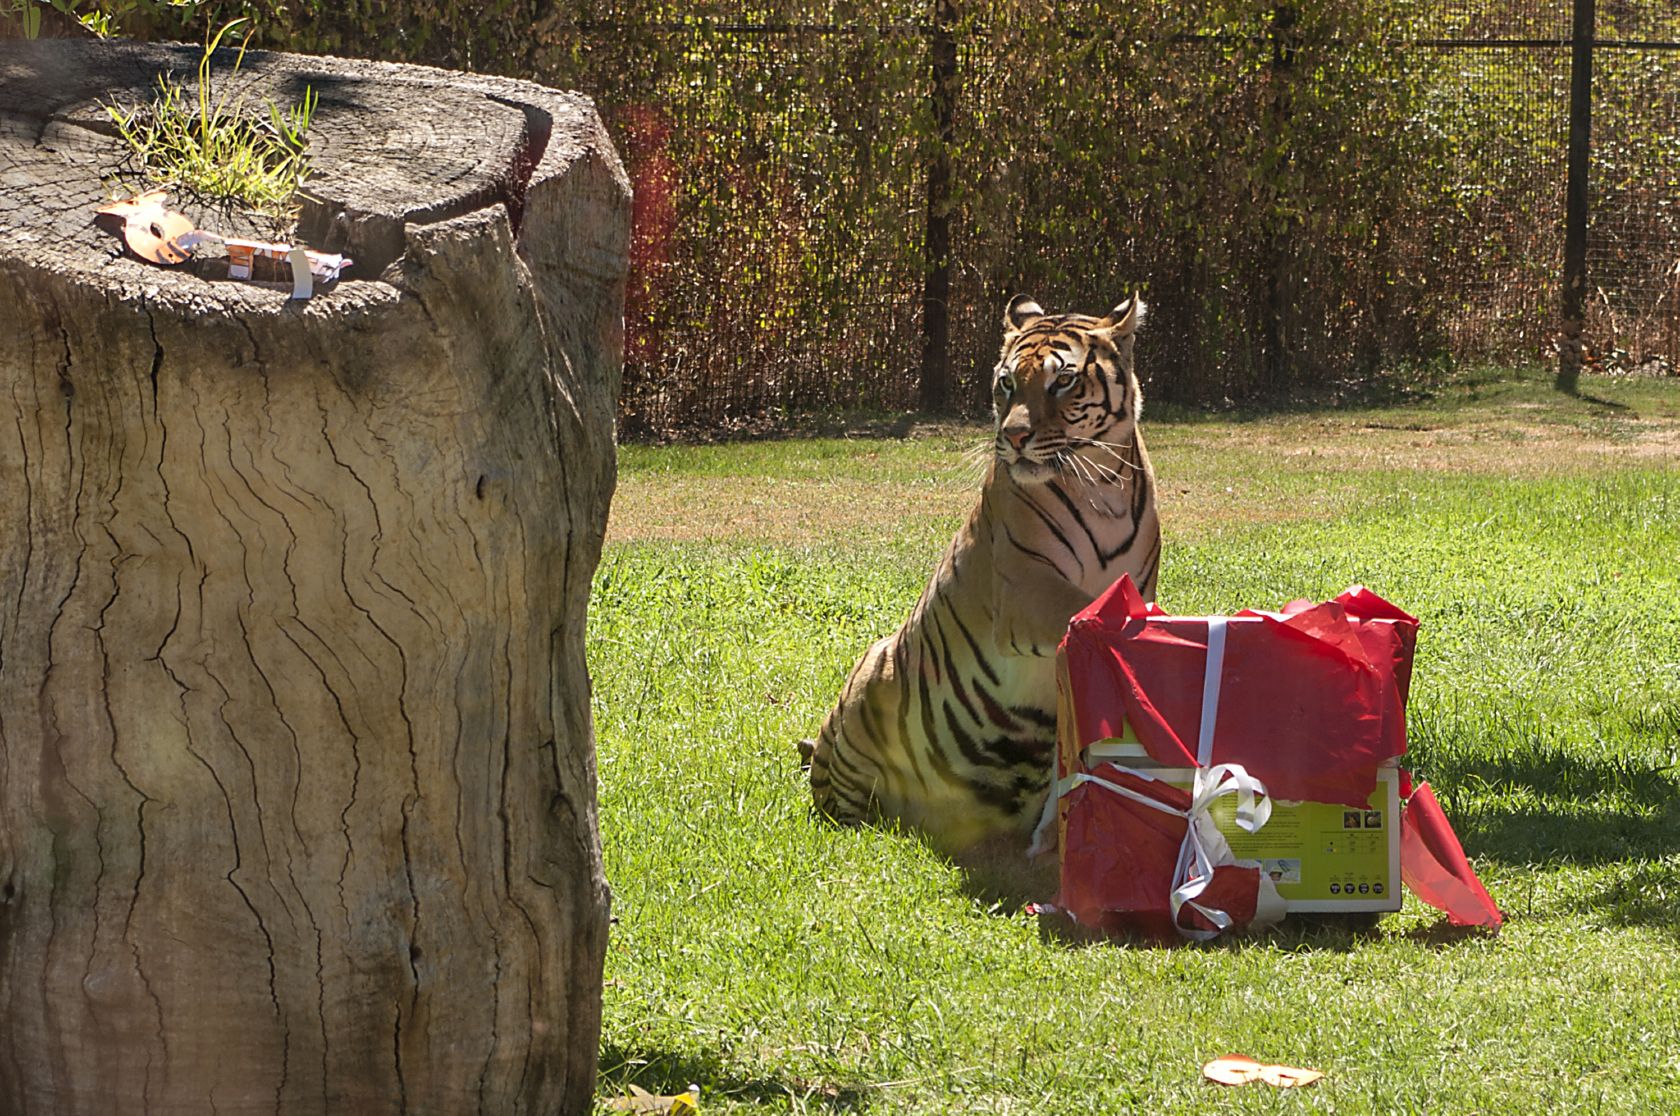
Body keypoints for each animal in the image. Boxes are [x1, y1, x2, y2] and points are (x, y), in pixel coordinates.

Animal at [802, 293, 1161, 859]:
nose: (1013, 436)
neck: (1100, 486)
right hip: (866, 690)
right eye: (1007, 382)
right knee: (841, 801)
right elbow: (1082, 609)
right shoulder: (1026, 588)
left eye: (1063, 380)